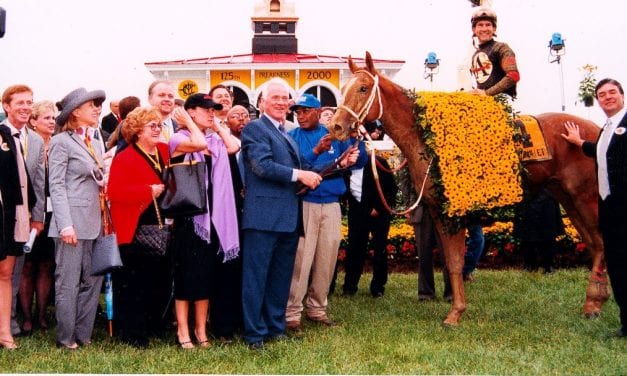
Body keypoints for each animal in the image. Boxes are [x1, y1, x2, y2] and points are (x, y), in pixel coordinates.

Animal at [332, 51, 612, 324]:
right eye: (344, 88)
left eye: (363, 88)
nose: (335, 125)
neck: (425, 137)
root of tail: (596, 131)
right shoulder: (437, 210)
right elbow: (451, 261)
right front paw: (457, 308)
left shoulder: (452, 213)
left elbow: (456, 261)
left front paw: (455, 312)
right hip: (567, 197)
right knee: (594, 244)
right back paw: (596, 301)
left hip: (586, 197)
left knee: (601, 241)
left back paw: (594, 300)